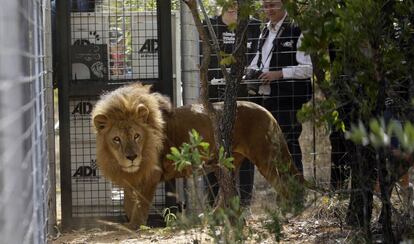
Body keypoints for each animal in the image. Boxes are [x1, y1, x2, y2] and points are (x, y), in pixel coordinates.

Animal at [91, 83, 304, 228]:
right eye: (116, 139)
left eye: (137, 136)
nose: (132, 157)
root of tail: (267, 112)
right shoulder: (132, 177)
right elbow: (128, 203)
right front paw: (127, 222)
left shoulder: (151, 174)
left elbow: (140, 205)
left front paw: (135, 226)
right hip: (226, 161)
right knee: (225, 192)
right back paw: (212, 217)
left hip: (267, 157)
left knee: (286, 183)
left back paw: (289, 211)